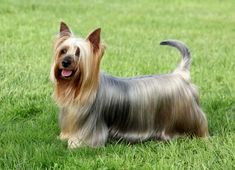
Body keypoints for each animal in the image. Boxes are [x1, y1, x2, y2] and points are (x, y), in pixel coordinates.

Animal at [50, 21, 208, 148]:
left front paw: (75, 145)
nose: (65, 62)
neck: (77, 87)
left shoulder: (91, 125)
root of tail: (180, 74)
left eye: (78, 53)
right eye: (63, 51)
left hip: (187, 114)